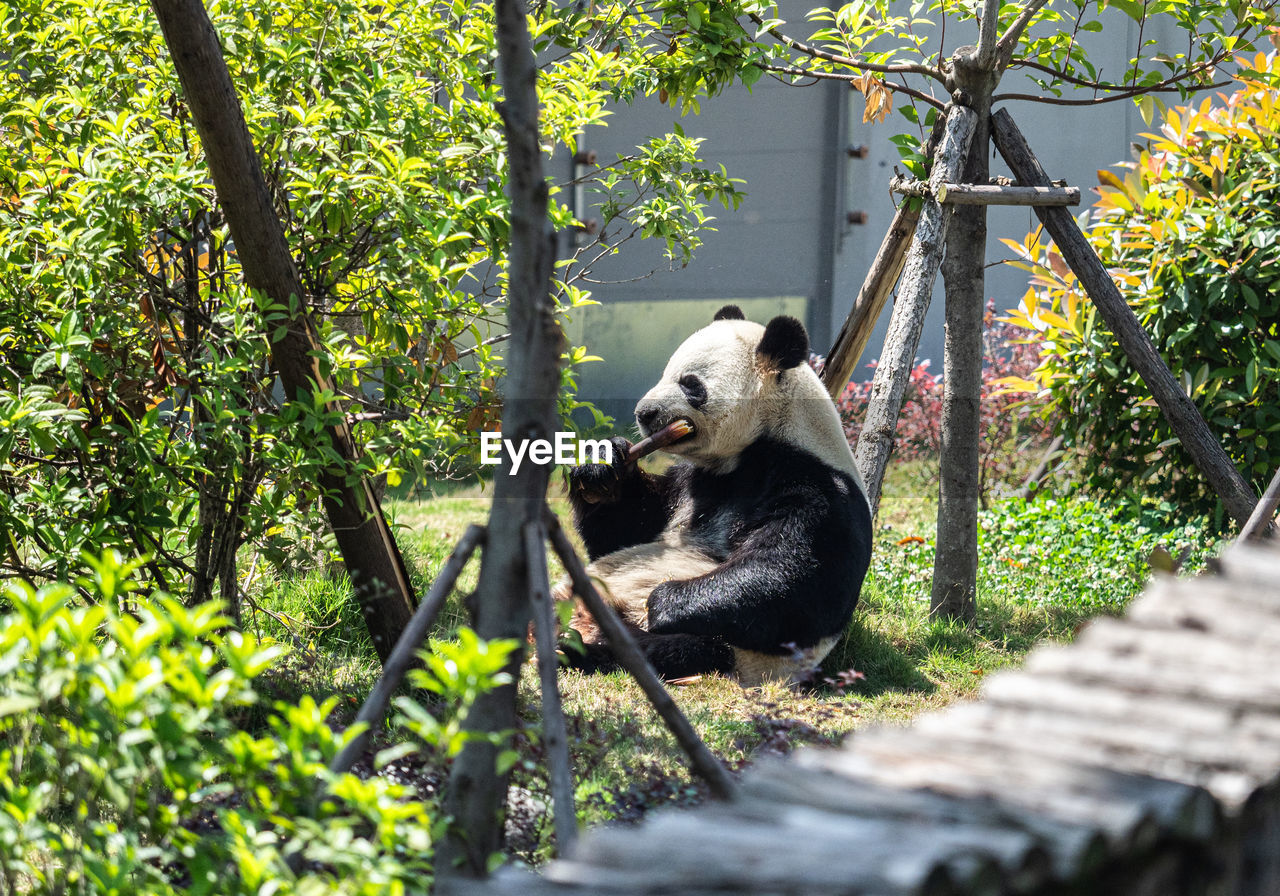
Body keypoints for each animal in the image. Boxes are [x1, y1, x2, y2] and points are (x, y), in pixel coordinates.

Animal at [561, 305, 873, 687]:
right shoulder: (692, 482)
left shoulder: (818, 486)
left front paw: (663, 600)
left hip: (737, 655)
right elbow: (626, 531)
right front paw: (600, 470)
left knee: (676, 649)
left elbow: (796, 580)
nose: (644, 414)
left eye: (691, 384)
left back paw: (579, 645)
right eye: (665, 372)